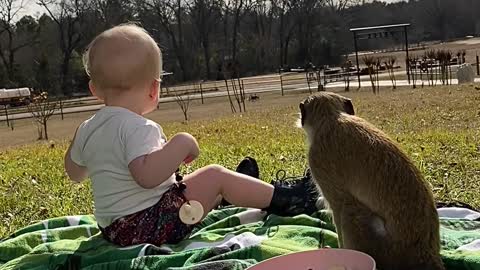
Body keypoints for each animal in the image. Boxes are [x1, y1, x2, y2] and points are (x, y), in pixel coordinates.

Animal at [298, 92, 444, 270]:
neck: (330, 117)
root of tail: (426, 254)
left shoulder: (317, 161)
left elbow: (337, 207)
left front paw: (340, 251)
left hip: (385, 249)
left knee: (348, 209)